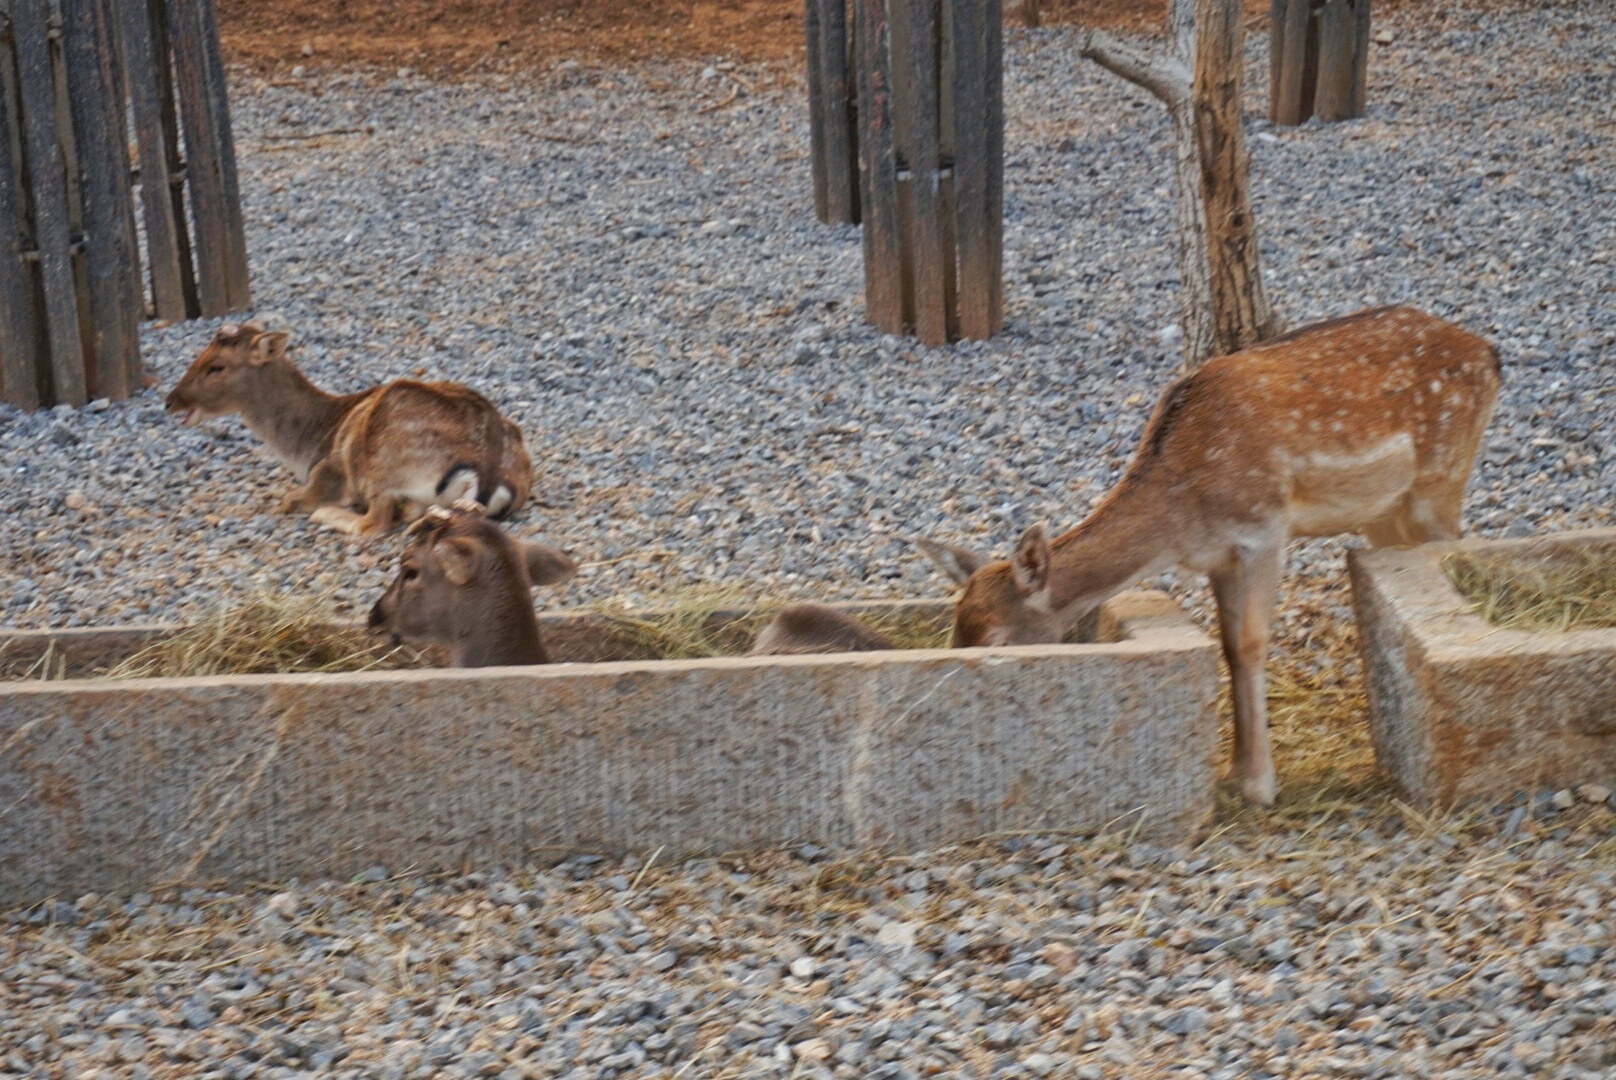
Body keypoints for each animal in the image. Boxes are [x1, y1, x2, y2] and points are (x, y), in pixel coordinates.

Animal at [168, 323, 536, 536]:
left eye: (216, 366)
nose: (171, 401)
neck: (308, 446)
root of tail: (488, 475)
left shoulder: (326, 475)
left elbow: (290, 500)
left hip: (384, 469)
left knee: (373, 524)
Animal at [924, 307, 1499, 805]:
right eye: (955, 632)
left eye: (996, 639)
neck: (1179, 519)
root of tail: (1490, 355)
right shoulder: (1217, 557)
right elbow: (1226, 646)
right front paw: (1234, 771)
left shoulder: (1265, 528)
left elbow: (1251, 643)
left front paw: (1260, 785)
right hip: (1385, 509)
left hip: (1441, 478)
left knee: (1459, 542)